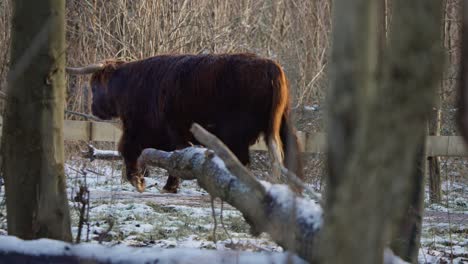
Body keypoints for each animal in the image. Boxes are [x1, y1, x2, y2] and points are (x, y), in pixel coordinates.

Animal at [68, 53, 304, 193]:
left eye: (95, 86)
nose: (93, 109)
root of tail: (270, 65)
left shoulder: (152, 129)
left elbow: (135, 151)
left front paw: (145, 182)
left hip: (236, 134)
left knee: (243, 160)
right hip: (282, 126)